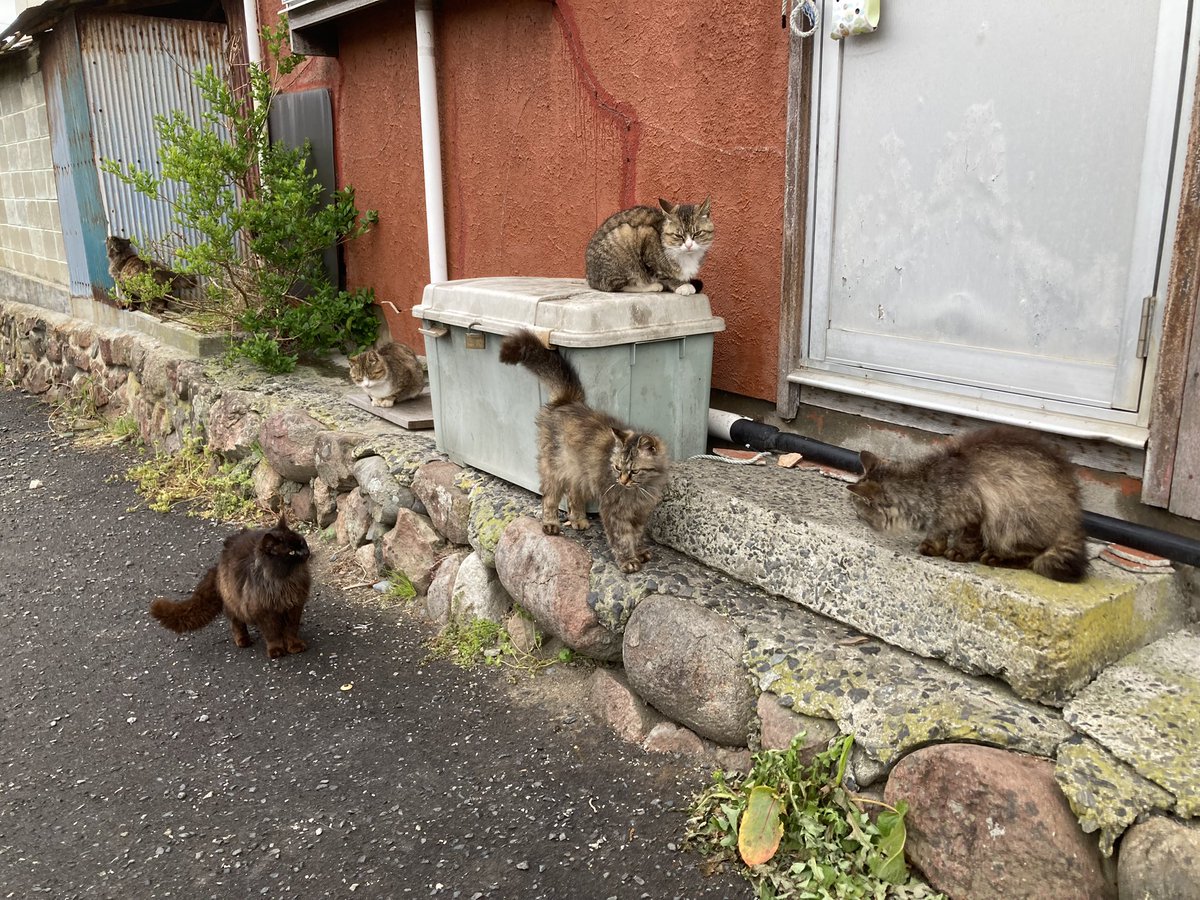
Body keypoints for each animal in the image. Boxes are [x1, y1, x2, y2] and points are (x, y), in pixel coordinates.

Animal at [149, 518, 312, 657]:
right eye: (291, 552)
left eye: (302, 542)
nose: (306, 552)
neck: (284, 581)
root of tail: (219, 563)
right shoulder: (264, 611)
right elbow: (272, 634)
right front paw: (276, 650)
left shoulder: (294, 606)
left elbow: (291, 630)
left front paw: (294, 646)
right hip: (234, 602)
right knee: (236, 623)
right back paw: (243, 641)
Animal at [494, 328, 667, 571]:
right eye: (617, 467)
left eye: (633, 471)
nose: (622, 481)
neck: (640, 490)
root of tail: (567, 401)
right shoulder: (614, 510)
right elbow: (622, 538)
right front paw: (628, 560)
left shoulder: (641, 513)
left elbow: (637, 534)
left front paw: (640, 551)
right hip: (555, 470)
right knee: (549, 499)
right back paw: (551, 524)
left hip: (579, 473)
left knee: (574, 495)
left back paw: (578, 520)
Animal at [844, 424, 1089, 585]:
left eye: (858, 510)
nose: (854, 517)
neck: (927, 484)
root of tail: (1074, 517)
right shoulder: (941, 517)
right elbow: (938, 532)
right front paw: (933, 547)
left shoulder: (975, 512)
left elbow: (968, 539)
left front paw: (959, 552)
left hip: (1013, 523)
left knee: (1032, 557)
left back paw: (994, 557)